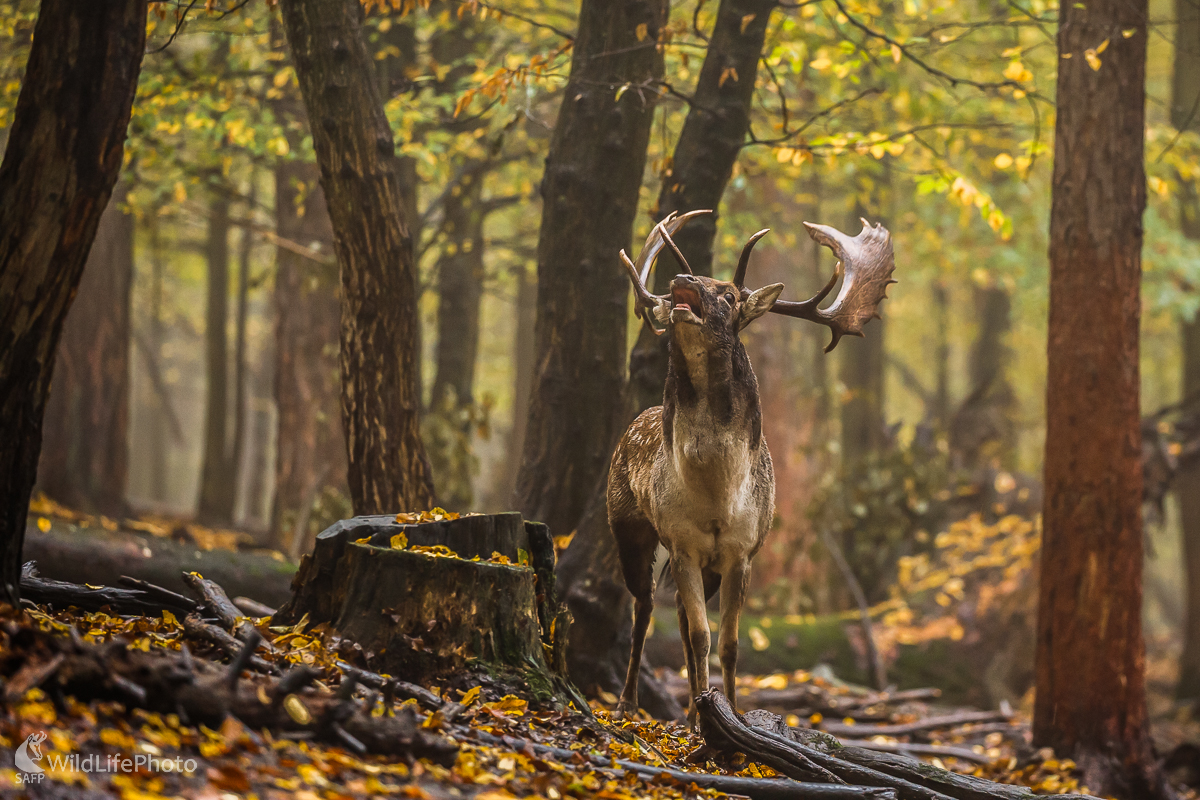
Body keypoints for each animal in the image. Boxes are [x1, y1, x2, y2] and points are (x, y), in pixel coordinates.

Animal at [609, 209, 892, 724]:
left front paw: (732, 712)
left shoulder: (742, 553)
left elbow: (730, 643)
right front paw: (706, 715)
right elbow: (701, 635)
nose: (680, 280)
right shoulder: (683, 543)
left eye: (728, 294)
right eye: (691, 279)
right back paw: (629, 702)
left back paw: (687, 709)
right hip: (630, 529)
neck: (717, 498)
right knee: (643, 609)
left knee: (673, 610)